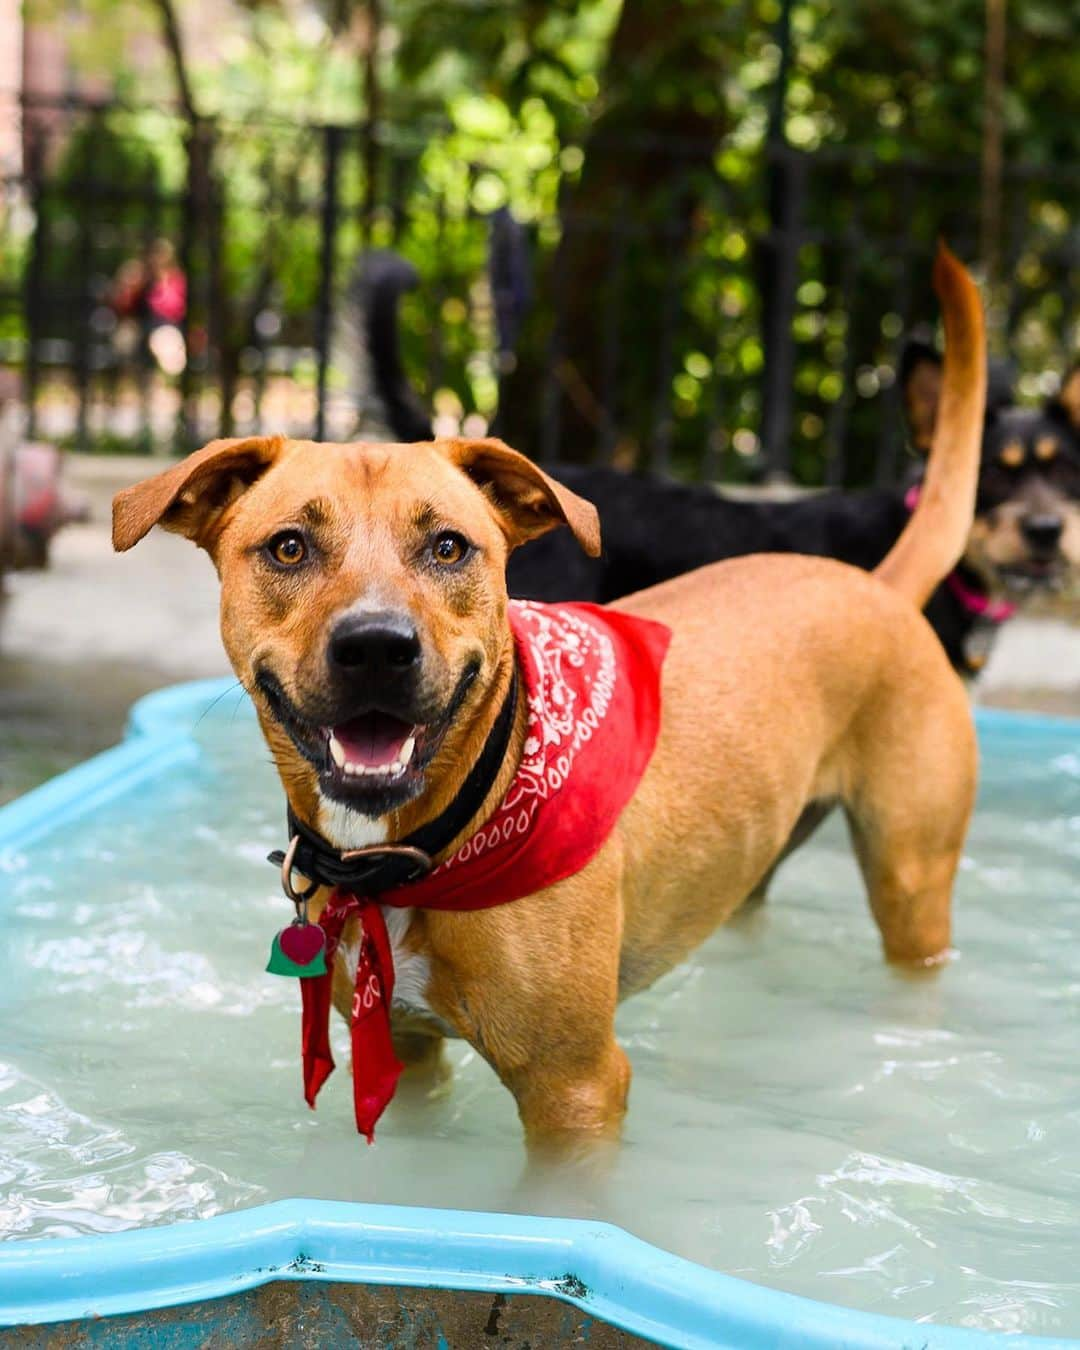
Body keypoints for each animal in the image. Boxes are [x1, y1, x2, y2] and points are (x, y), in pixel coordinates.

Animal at [114, 248, 982, 1155]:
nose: (378, 647)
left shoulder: (575, 1089)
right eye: (288, 547)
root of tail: (877, 584)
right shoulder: (406, 1046)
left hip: (912, 881)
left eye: (448, 546)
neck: (426, 844)